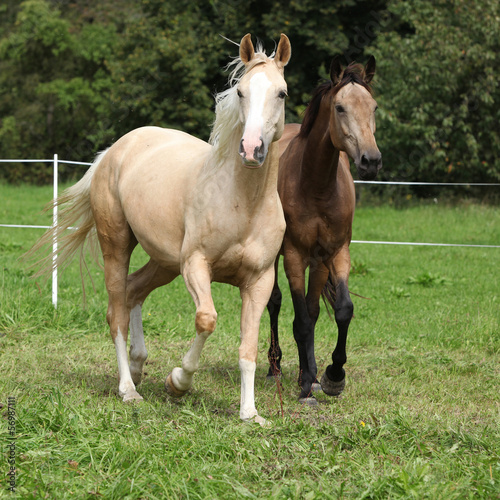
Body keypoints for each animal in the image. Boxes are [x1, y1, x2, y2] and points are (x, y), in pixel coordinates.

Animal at [268, 56, 380, 404]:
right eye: (340, 108)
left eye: (373, 107)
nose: (371, 160)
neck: (316, 185)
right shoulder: (293, 255)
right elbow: (301, 320)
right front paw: (307, 386)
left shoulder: (335, 252)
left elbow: (339, 310)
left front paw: (330, 377)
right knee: (274, 303)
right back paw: (275, 368)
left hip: (318, 265)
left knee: (314, 309)